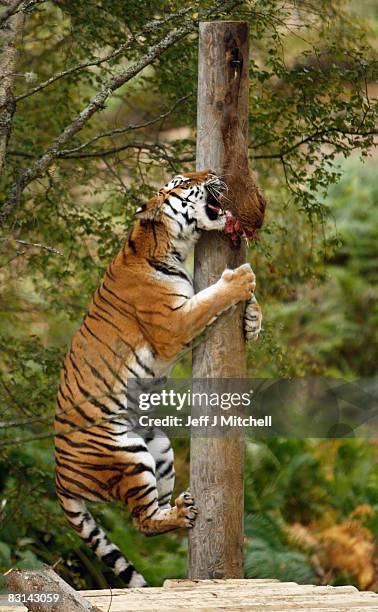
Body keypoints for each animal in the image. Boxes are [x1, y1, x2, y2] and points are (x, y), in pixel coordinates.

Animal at [54, 169, 262, 588]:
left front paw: (253, 319)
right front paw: (240, 280)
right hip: (126, 456)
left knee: (150, 518)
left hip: (158, 447)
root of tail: (59, 478)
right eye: (182, 183)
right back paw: (181, 512)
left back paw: (183, 506)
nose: (212, 172)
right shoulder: (174, 324)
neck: (171, 247)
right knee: (141, 521)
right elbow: (213, 298)